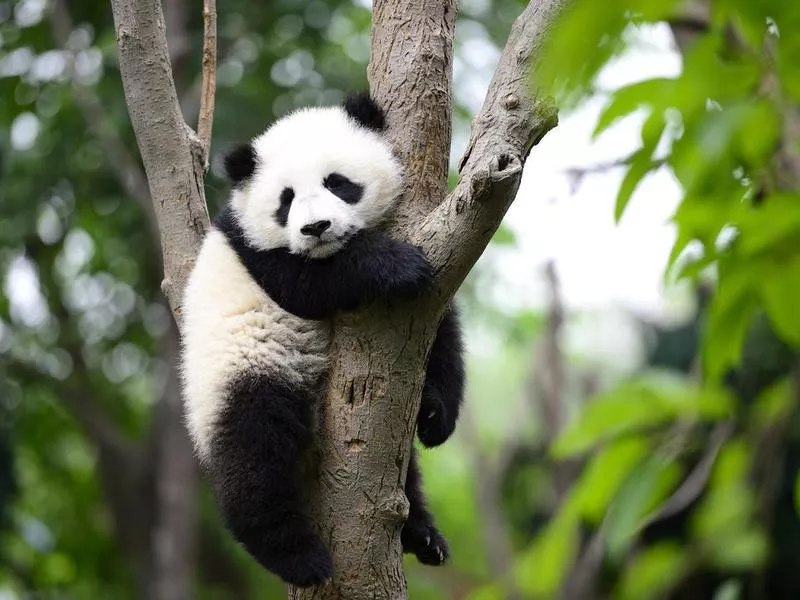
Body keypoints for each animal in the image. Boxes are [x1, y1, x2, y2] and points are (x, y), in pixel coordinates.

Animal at [181, 94, 466, 584]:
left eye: (338, 183)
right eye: (286, 200)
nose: (316, 228)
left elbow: (440, 332)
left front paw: (434, 414)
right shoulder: (259, 255)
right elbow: (313, 284)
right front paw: (395, 265)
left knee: (402, 471)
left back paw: (423, 535)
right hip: (243, 370)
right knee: (254, 450)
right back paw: (296, 556)